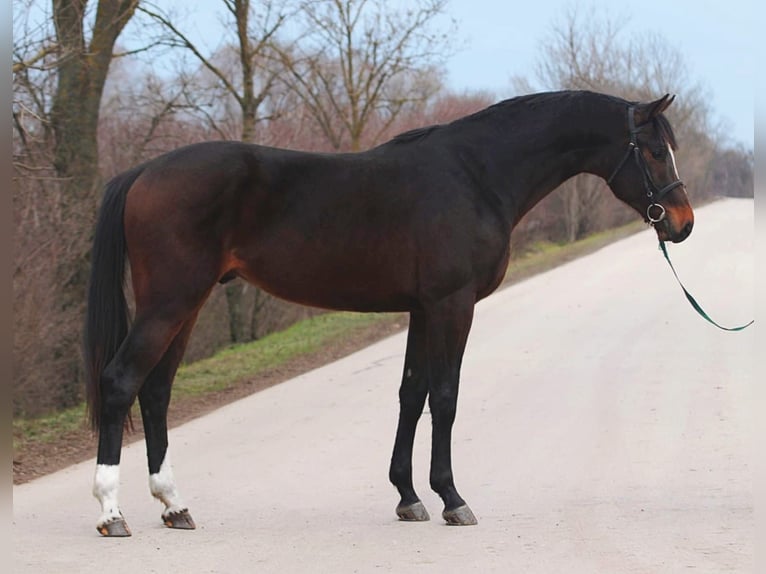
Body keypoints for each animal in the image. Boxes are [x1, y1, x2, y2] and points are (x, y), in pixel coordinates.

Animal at [84, 89, 696, 536]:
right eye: (651, 149)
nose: (682, 223)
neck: (476, 174)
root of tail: (143, 173)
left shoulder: (422, 310)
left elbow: (411, 392)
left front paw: (407, 496)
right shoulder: (452, 305)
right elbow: (445, 396)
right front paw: (452, 498)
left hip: (185, 305)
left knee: (156, 391)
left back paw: (174, 506)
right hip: (172, 300)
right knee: (120, 381)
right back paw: (111, 513)